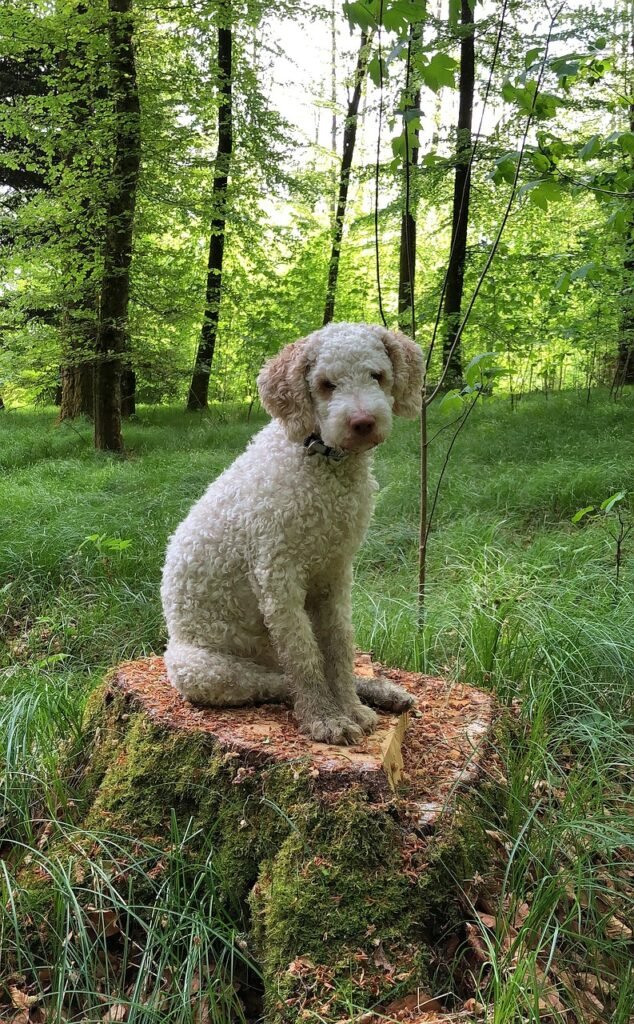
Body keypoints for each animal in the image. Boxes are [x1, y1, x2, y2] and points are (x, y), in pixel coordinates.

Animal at [160, 323, 424, 749]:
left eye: (377, 375)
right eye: (326, 384)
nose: (363, 422)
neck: (321, 463)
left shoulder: (336, 572)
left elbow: (339, 646)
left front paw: (351, 707)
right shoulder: (277, 576)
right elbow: (304, 655)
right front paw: (327, 719)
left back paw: (378, 691)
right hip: (201, 668)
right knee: (279, 681)